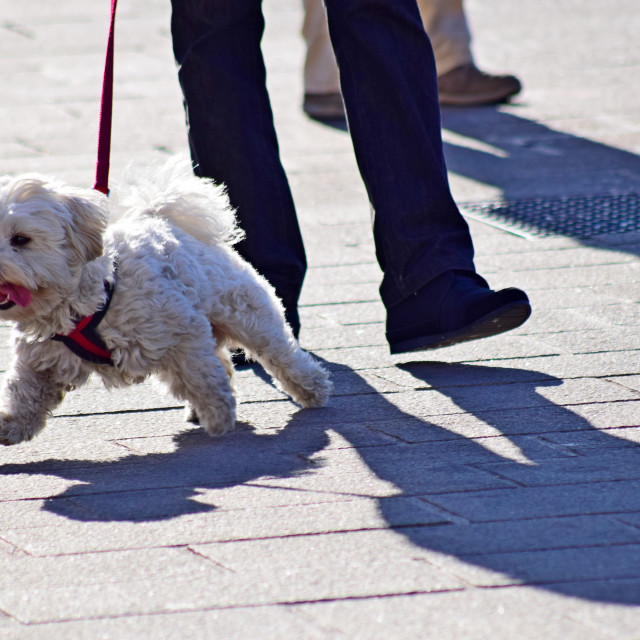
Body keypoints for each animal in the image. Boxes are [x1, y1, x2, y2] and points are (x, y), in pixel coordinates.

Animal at [0, 160, 330, 444]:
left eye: (21, 240)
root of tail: (166, 220)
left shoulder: (183, 332)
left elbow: (203, 377)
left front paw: (219, 418)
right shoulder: (39, 360)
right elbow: (25, 396)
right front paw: (8, 427)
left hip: (247, 313)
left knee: (280, 353)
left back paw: (312, 389)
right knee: (222, 360)